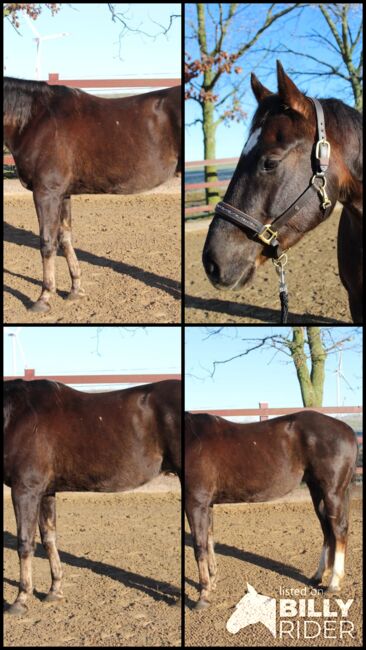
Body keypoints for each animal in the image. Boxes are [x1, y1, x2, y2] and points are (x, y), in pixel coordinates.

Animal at [2, 378, 180, 612]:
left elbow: (24, 543)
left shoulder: (25, 490)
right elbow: (49, 538)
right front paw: (54, 591)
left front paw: (20, 599)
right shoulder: (45, 492)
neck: (16, 414)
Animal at [4, 78, 182, 312]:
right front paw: (75, 290)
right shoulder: (63, 195)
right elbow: (65, 239)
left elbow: (47, 243)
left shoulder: (46, 193)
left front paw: (44, 298)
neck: (35, 119)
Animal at [186, 410, 358, 608]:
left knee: (338, 530)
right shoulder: (207, 504)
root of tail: (348, 430)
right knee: (327, 530)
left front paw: (203, 595)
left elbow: (199, 545)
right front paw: (212, 581)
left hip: (332, 493)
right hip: (317, 491)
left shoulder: (195, 503)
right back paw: (318, 576)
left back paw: (334, 583)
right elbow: (208, 540)